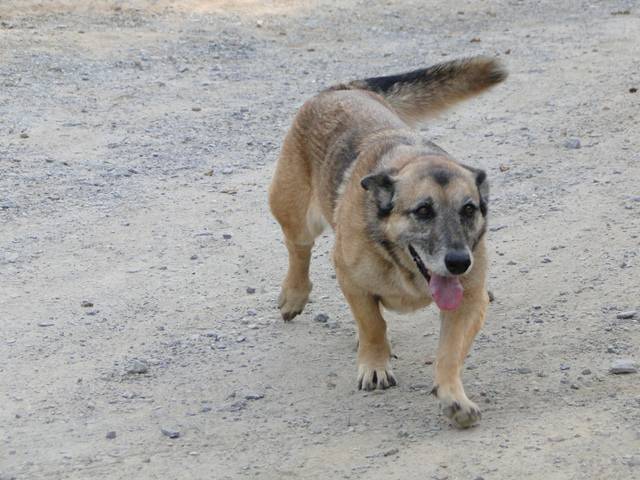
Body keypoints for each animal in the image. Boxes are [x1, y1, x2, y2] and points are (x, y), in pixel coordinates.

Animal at [268, 56, 504, 428]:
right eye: (423, 211)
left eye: (468, 209)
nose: (458, 262)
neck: (405, 269)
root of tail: (342, 88)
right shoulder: (351, 279)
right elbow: (373, 324)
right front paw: (376, 365)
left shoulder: (468, 302)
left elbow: (449, 353)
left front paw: (453, 397)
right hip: (295, 213)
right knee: (298, 249)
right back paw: (294, 294)